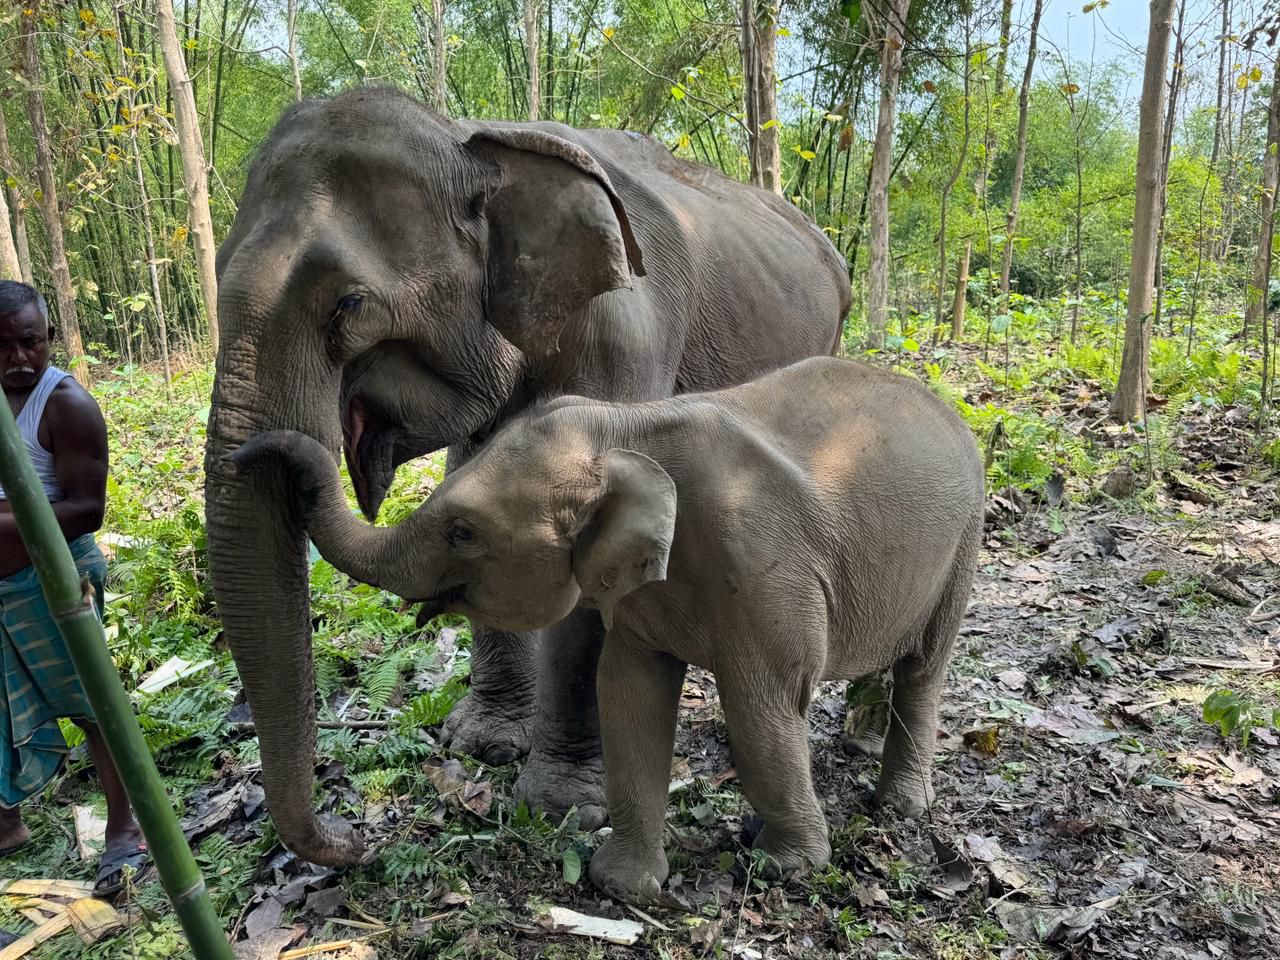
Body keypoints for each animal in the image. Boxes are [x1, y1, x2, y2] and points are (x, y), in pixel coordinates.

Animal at [204, 86, 851, 866]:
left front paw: (562, 803)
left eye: (348, 304)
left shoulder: (626, 336)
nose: (356, 839)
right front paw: (483, 743)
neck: (468, 140)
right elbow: (478, 475)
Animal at [231, 355, 986, 903]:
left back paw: (899, 809)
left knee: (925, 666)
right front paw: (620, 887)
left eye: (463, 532)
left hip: (966, 538)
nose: (252, 452)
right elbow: (628, 695)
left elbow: (762, 709)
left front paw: (786, 870)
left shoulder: (764, 566)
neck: (624, 430)